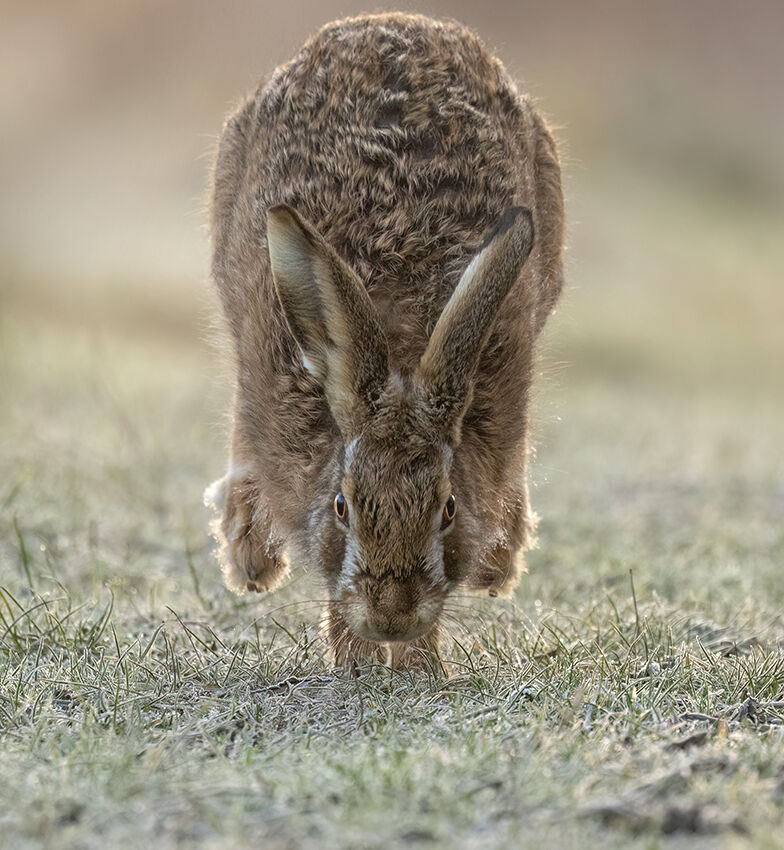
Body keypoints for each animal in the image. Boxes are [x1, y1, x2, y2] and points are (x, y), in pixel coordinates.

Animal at [205, 13, 565, 667]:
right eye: (342, 507)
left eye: (448, 508)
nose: (391, 618)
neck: (399, 358)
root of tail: (395, 20)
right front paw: (360, 663)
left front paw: (420, 666)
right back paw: (251, 561)